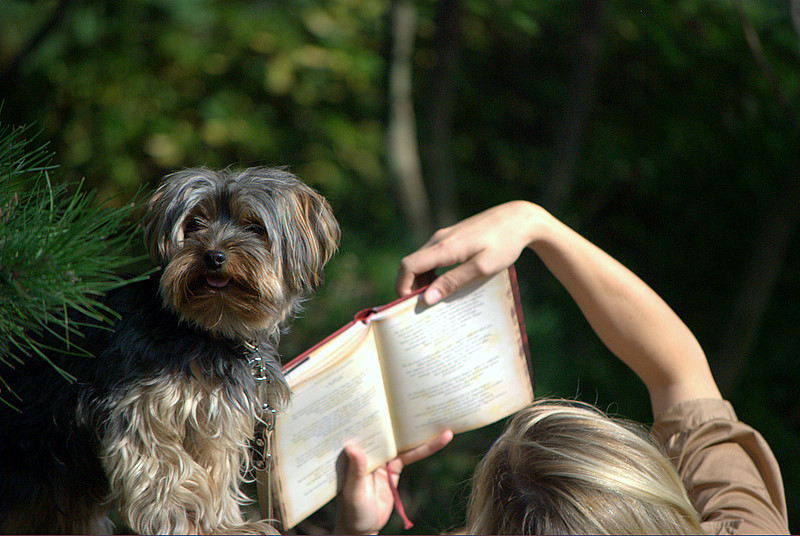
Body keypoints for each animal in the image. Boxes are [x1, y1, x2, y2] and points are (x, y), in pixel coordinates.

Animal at [0, 166, 340, 532]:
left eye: (254, 226)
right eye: (194, 224)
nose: (214, 256)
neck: (210, 332)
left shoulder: (215, 417)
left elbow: (215, 471)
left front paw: (224, 525)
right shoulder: (141, 411)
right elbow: (171, 474)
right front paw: (191, 522)